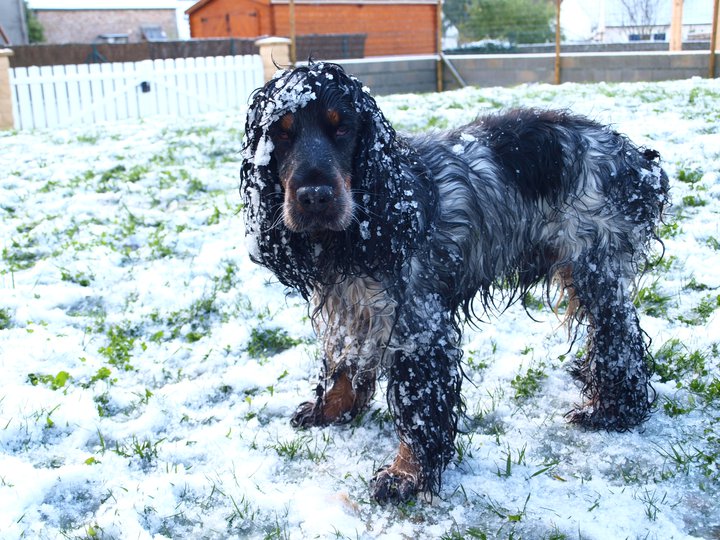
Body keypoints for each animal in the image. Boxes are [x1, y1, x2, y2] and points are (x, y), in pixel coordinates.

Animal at [240, 62, 668, 502]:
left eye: (342, 129)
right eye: (281, 134)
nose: (315, 197)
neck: (374, 216)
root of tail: (639, 161)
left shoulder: (420, 326)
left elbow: (418, 408)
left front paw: (406, 474)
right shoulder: (350, 306)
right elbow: (341, 363)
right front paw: (329, 409)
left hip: (594, 266)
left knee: (620, 338)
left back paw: (612, 410)